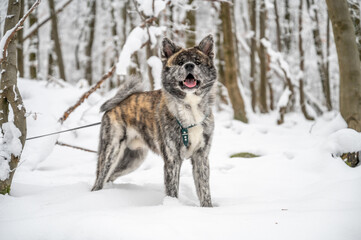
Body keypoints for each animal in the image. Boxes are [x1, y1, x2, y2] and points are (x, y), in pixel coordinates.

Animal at [92, 34, 217, 207]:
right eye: (180, 62)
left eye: (197, 61)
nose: (189, 66)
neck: (190, 107)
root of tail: (116, 104)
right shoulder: (172, 159)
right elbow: (172, 191)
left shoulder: (201, 157)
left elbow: (205, 191)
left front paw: (208, 210)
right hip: (111, 152)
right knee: (99, 180)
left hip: (133, 159)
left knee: (110, 177)